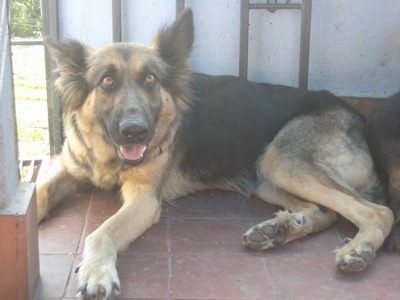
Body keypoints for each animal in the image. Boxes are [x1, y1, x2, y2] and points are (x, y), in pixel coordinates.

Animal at [37, 8, 394, 298]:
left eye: (150, 79)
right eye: (107, 82)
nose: (135, 131)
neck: (107, 152)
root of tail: (358, 117)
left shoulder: (144, 200)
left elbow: (101, 232)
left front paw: (96, 272)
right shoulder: (68, 170)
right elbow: (40, 193)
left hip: (281, 161)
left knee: (378, 212)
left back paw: (358, 248)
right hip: (266, 176)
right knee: (327, 212)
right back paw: (280, 229)